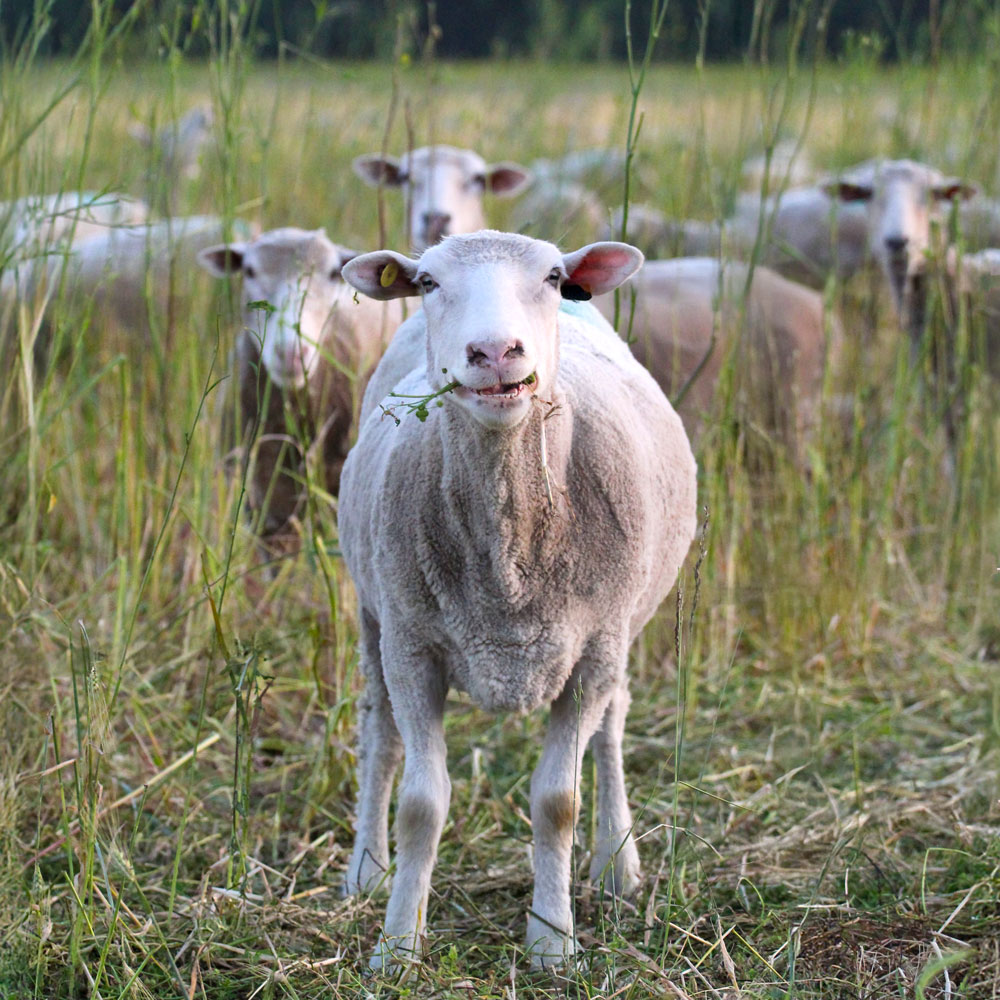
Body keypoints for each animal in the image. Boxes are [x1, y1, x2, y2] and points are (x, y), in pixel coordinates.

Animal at [337, 230, 697, 969]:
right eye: (427, 281)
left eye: (554, 276)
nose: (495, 351)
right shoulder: (412, 646)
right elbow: (421, 803)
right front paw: (397, 944)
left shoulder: (592, 649)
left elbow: (557, 801)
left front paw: (553, 942)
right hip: (371, 610)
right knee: (378, 734)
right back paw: (367, 870)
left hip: (620, 629)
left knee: (612, 730)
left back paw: (616, 866)